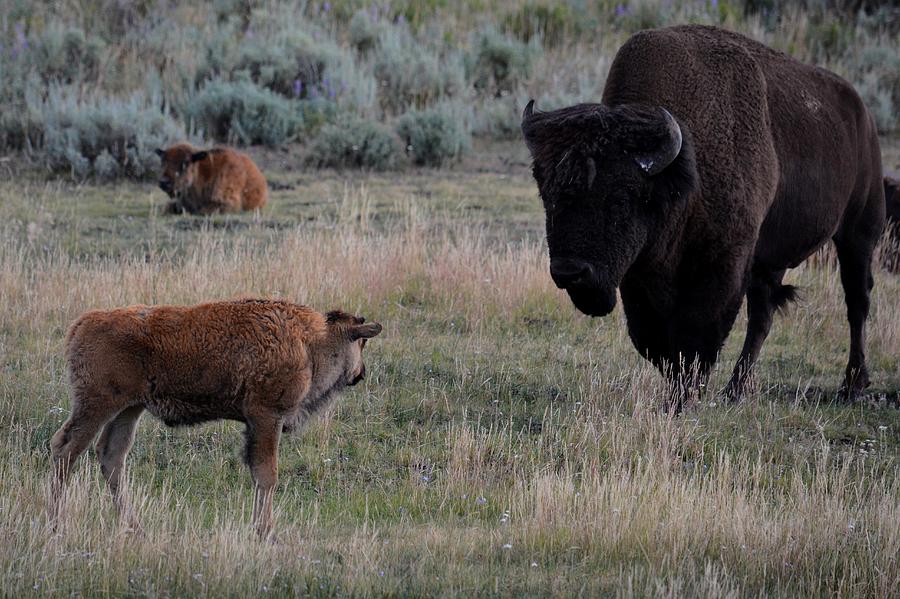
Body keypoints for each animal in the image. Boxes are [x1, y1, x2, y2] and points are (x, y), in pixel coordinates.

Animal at [51, 300, 384, 540]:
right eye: (360, 343)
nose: (361, 373)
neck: (310, 342)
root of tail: (81, 324)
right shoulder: (267, 417)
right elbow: (267, 475)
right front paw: (266, 533)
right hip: (96, 406)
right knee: (66, 449)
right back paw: (58, 525)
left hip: (128, 410)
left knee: (111, 457)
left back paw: (136, 528)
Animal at [520, 23, 884, 408]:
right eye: (547, 195)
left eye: (620, 198)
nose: (569, 272)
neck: (679, 177)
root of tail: (862, 114)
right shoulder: (639, 277)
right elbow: (655, 342)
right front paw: (677, 394)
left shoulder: (723, 265)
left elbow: (696, 338)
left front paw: (684, 398)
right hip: (771, 258)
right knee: (763, 317)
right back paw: (734, 391)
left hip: (858, 233)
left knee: (857, 301)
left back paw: (852, 385)